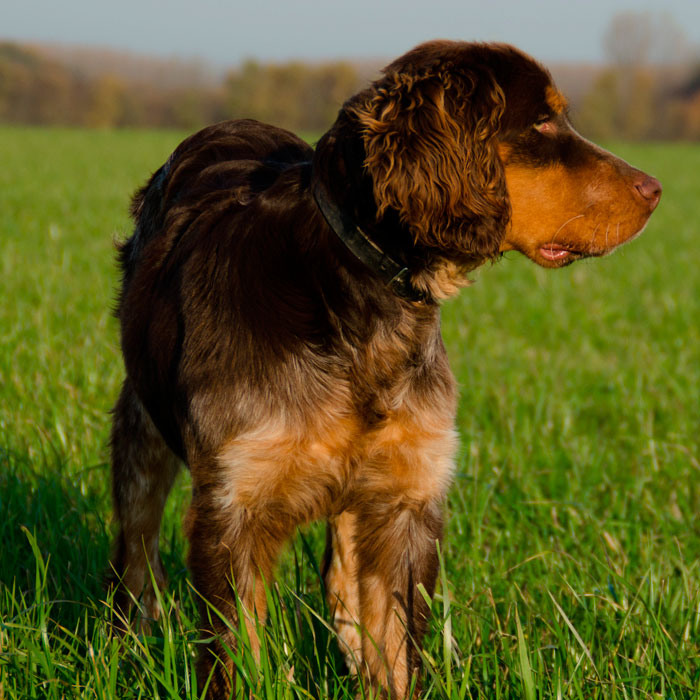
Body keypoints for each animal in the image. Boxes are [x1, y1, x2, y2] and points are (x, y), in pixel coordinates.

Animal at [108, 40, 661, 698]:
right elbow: (236, 657)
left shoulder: (405, 501)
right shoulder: (232, 508)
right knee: (135, 556)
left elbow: (395, 651)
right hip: (140, 432)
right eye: (544, 122)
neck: (358, 306)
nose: (656, 188)